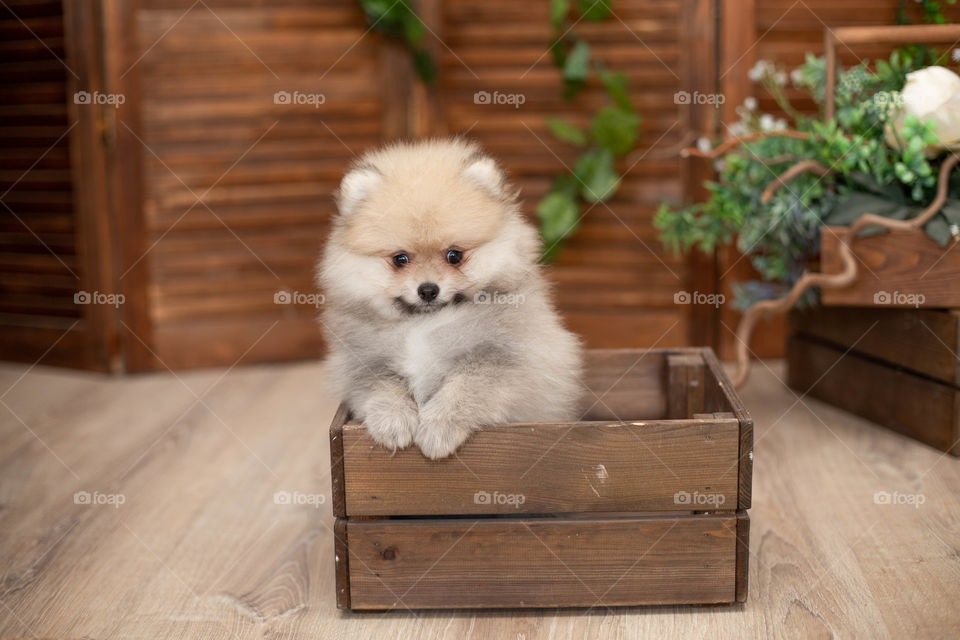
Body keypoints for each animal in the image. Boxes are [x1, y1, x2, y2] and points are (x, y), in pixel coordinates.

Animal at [318, 139, 580, 460]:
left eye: (454, 255)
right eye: (400, 259)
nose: (428, 289)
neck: (424, 323)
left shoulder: (501, 356)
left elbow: (463, 388)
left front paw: (438, 428)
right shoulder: (363, 358)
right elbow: (383, 386)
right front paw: (392, 422)